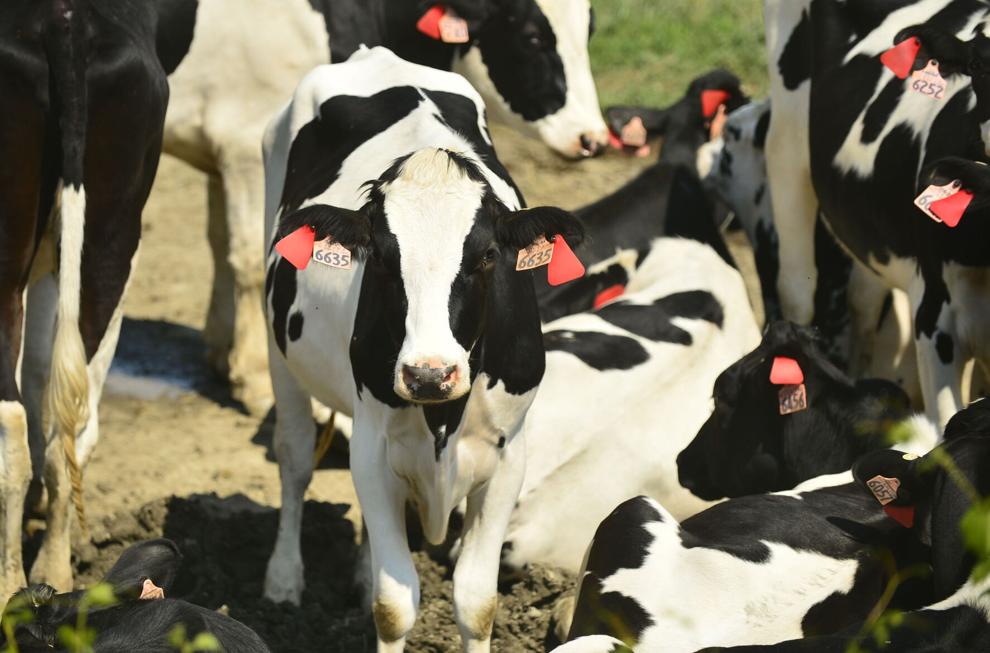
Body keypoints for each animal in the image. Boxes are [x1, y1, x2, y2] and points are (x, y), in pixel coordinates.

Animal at [155, 0, 607, 414]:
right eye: (532, 37)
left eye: (589, 30)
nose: (594, 139)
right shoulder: (242, 140)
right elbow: (246, 259)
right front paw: (252, 379)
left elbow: (218, 241)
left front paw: (220, 353)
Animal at [260, 47, 584, 651]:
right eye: (382, 258)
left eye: (487, 256)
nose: (429, 375)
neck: (443, 422)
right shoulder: (372, 450)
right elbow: (393, 606)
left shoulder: (508, 456)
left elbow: (476, 602)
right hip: (281, 354)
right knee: (295, 461)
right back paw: (283, 578)